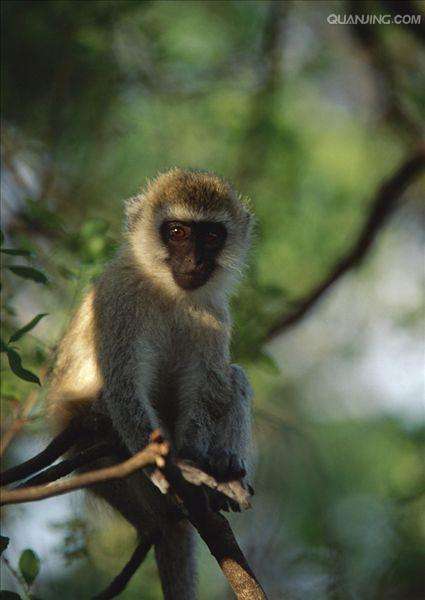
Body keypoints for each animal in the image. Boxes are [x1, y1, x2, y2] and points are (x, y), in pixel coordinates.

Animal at [47, 170, 252, 600]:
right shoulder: (118, 300)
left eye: (211, 235)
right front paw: (173, 471)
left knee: (234, 377)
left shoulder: (214, 312)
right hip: (106, 466)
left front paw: (196, 462)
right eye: (177, 232)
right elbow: (123, 386)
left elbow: (209, 388)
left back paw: (223, 468)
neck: (168, 291)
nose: (195, 260)